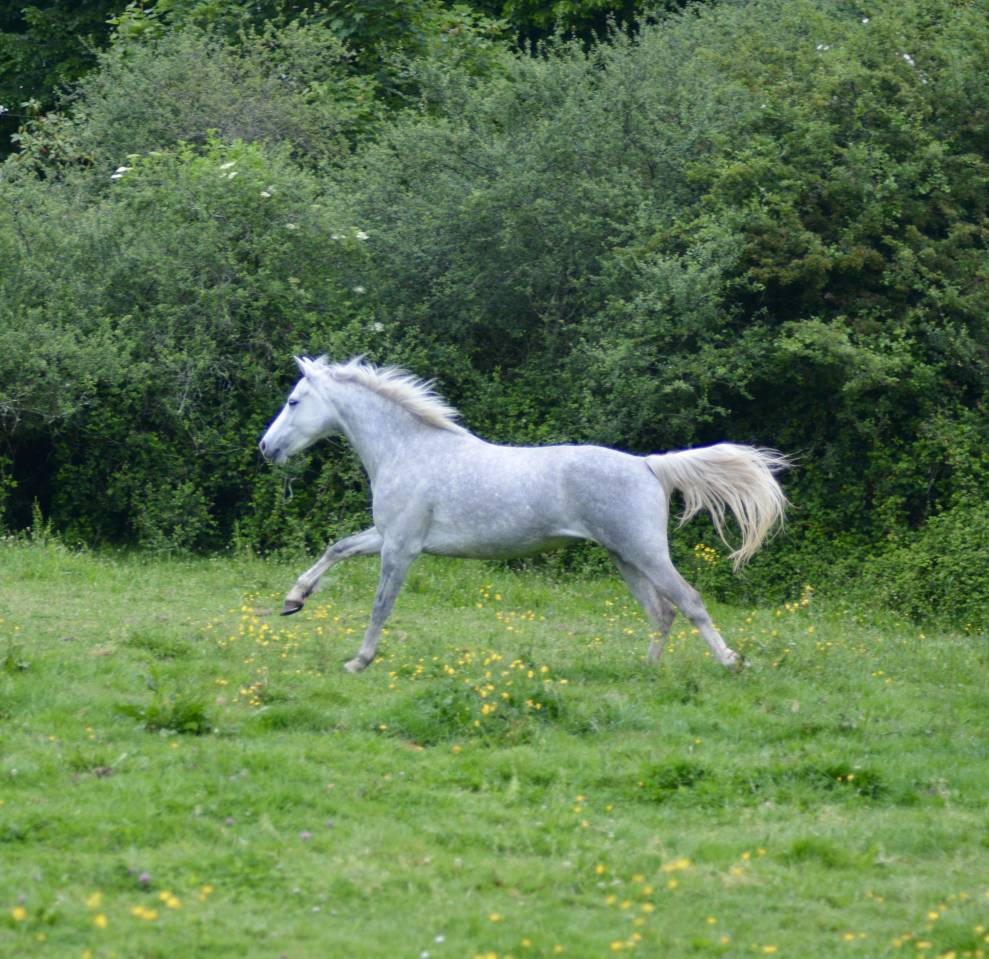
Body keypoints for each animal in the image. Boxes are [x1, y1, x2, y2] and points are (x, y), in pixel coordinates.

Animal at [259, 356, 788, 674]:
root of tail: (648, 465)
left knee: (690, 602)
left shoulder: (402, 547)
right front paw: (293, 600)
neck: (407, 450)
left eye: (293, 401)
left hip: (645, 552)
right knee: (662, 612)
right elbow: (338, 548)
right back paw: (646, 670)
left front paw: (359, 661)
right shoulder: (386, 535)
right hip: (625, 558)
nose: (266, 447)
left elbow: (380, 605)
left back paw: (730, 662)